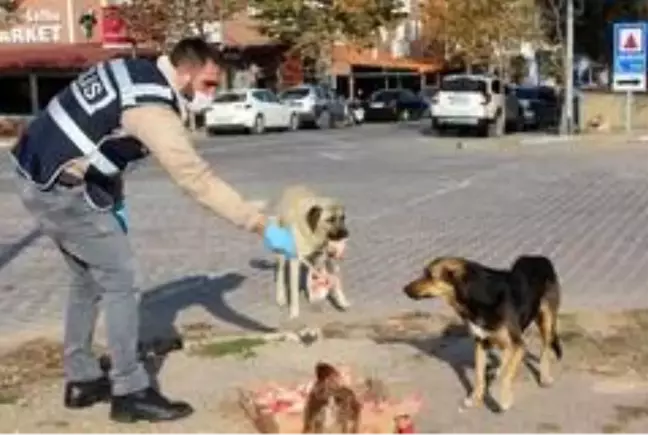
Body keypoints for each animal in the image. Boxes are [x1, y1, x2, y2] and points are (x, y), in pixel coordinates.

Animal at [404, 258, 560, 414]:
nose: (404, 289)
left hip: (547, 320)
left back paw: (544, 377)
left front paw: (504, 400)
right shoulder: (481, 342)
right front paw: (475, 398)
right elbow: (479, 375)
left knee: (544, 350)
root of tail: (539, 258)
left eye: (430, 276)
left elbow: (506, 375)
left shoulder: (518, 343)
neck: (479, 297)